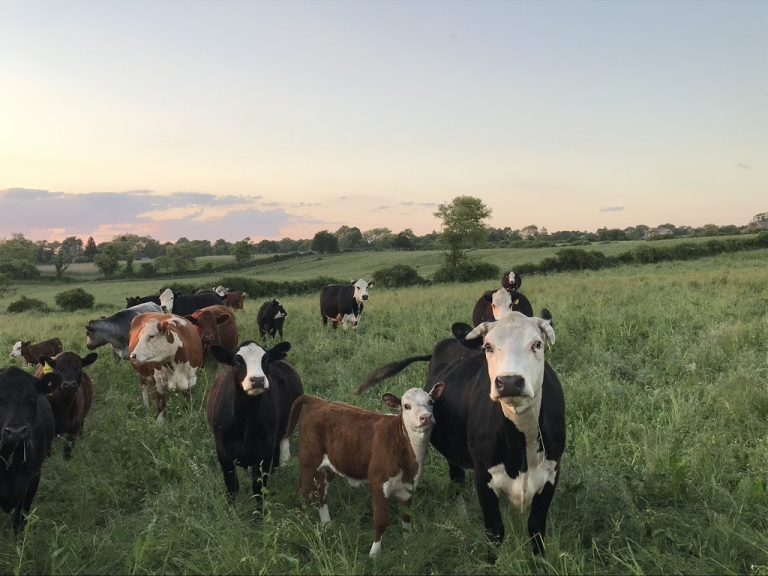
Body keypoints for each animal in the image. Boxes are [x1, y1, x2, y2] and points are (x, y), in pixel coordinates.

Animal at [206, 341, 303, 506]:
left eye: (266, 359)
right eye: (237, 361)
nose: (257, 379)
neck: (245, 419)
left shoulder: (264, 449)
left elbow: (258, 487)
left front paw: (259, 512)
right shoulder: (222, 451)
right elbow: (231, 485)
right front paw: (231, 510)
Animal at [279, 383, 445, 556]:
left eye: (431, 402)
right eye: (406, 406)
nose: (426, 417)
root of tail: (318, 401)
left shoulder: (408, 487)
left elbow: (406, 518)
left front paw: (408, 545)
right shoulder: (378, 483)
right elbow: (381, 521)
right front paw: (374, 554)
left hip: (328, 468)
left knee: (321, 494)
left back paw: (327, 525)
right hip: (309, 463)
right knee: (303, 495)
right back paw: (303, 527)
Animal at [356, 311, 564, 559]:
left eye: (537, 344)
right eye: (488, 346)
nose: (509, 382)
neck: (520, 443)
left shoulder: (551, 474)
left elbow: (536, 530)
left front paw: (540, 562)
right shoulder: (484, 477)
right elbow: (494, 531)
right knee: (456, 478)